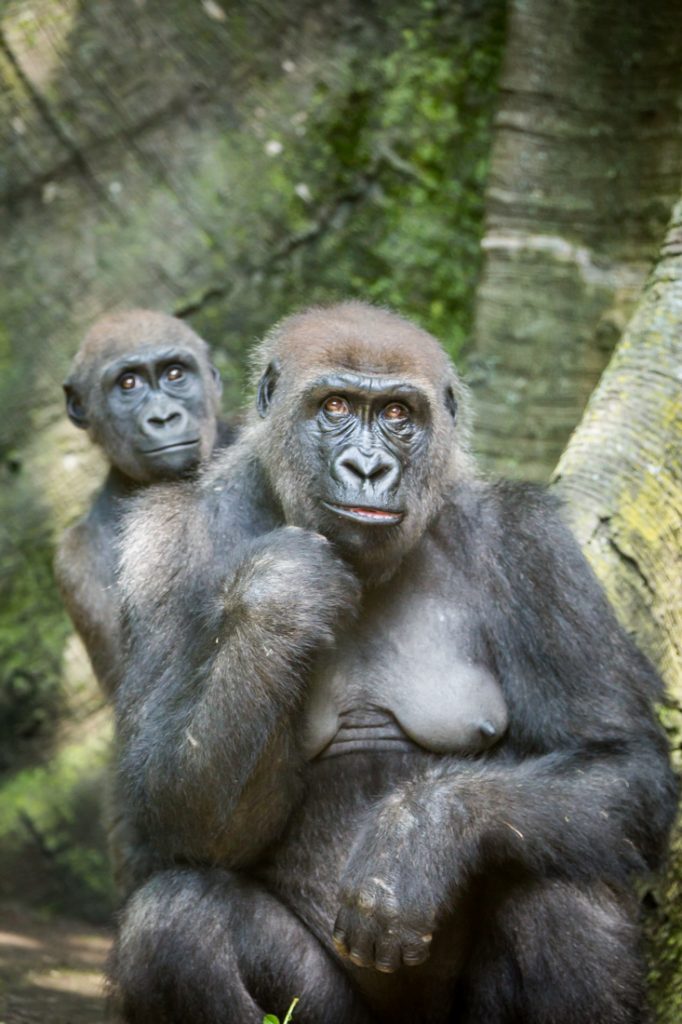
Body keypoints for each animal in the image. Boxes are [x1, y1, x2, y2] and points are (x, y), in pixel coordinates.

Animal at [109, 299, 671, 1024]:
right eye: (336, 406)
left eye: (399, 414)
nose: (369, 469)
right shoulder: (162, 547)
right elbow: (167, 814)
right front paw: (280, 597)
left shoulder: (531, 541)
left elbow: (620, 761)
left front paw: (421, 833)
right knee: (173, 923)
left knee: (565, 880)